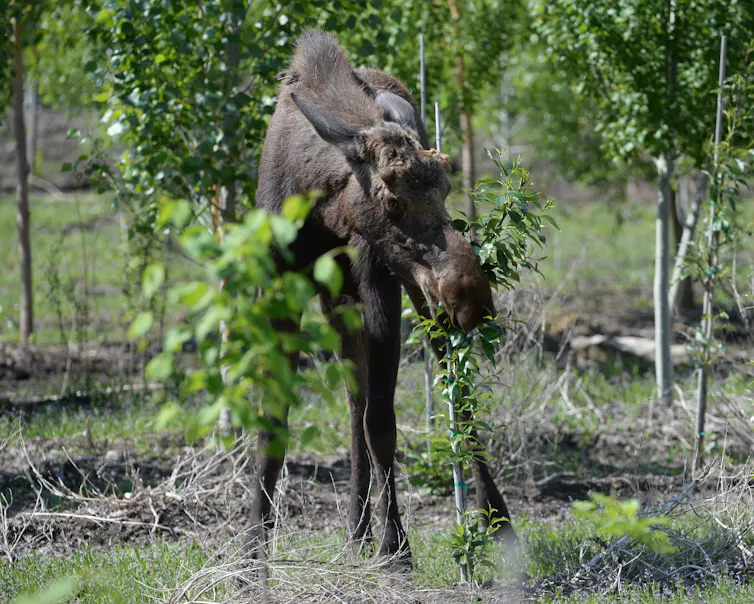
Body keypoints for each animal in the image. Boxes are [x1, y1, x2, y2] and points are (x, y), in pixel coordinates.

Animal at [253, 28, 517, 565]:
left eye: (445, 190)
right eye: (393, 199)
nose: (472, 298)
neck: (320, 208)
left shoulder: (381, 283)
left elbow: (383, 422)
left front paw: (396, 548)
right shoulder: (281, 286)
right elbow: (275, 424)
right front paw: (250, 558)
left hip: (414, 294)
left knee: (452, 387)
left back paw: (493, 518)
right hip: (343, 299)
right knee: (355, 398)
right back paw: (355, 533)